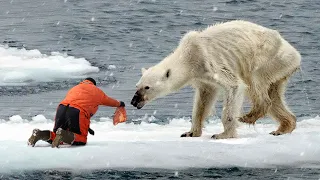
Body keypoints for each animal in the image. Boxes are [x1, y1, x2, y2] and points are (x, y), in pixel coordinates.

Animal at [130, 20, 300, 139]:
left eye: (147, 87)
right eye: (137, 85)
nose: (134, 101)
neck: (189, 55)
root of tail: (295, 53)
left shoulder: (210, 62)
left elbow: (234, 85)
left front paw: (223, 134)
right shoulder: (202, 76)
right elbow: (203, 99)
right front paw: (190, 132)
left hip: (268, 59)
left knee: (255, 83)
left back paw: (249, 116)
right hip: (279, 69)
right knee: (274, 95)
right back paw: (283, 127)